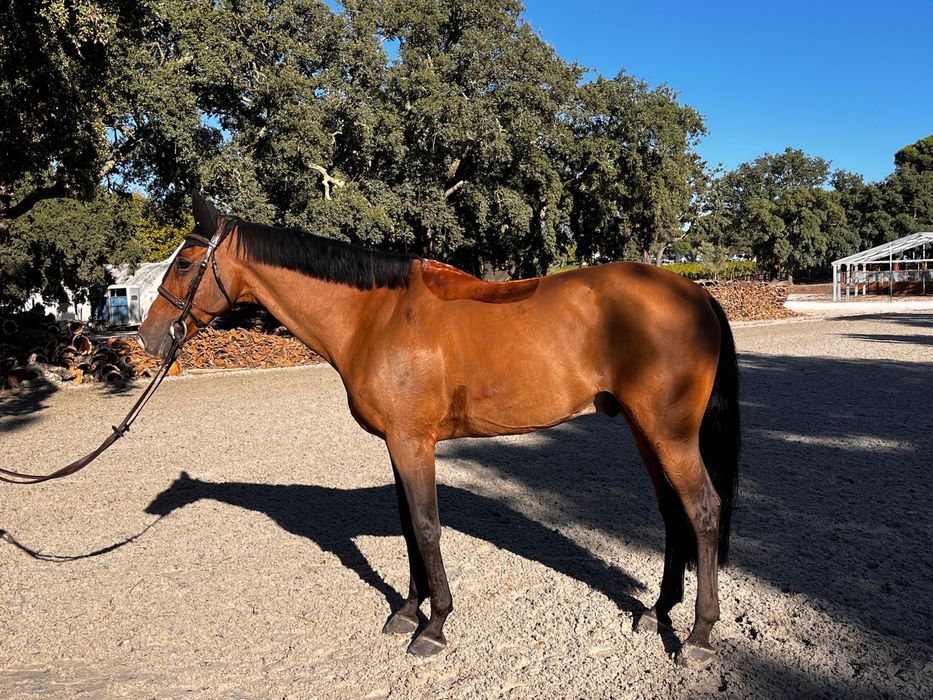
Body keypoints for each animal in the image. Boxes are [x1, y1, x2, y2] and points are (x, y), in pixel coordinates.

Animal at [138, 193, 740, 668]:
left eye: (186, 261)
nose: (148, 337)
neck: (375, 316)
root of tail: (697, 293)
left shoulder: (413, 444)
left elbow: (427, 528)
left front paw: (434, 627)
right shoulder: (398, 445)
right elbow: (408, 528)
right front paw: (407, 612)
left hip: (670, 435)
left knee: (703, 511)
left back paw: (699, 637)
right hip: (645, 431)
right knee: (673, 514)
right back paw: (658, 612)